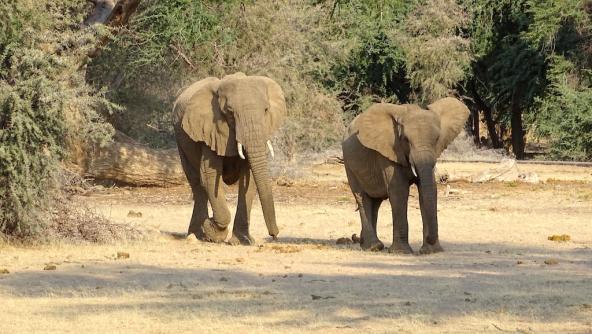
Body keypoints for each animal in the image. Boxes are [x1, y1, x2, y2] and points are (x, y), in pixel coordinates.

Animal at [175, 72, 286, 245]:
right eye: (230, 112)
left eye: (266, 110)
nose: (274, 235)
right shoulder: (210, 130)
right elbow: (209, 175)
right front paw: (212, 230)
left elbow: (249, 178)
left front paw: (242, 241)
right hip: (181, 141)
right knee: (196, 183)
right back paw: (197, 235)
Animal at [340, 98, 470, 254]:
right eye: (405, 139)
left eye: (437, 139)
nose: (429, 239)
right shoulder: (389, 152)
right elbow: (399, 191)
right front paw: (401, 252)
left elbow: (428, 190)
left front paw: (431, 251)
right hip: (349, 164)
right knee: (361, 197)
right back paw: (374, 247)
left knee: (375, 201)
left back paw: (367, 246)